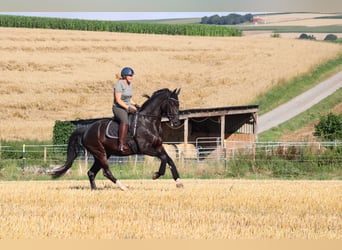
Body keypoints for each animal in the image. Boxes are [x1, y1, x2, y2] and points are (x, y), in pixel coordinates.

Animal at [50, 88, 184, 189]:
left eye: (178, 104)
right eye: (172, 104)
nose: (176, 122)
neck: (148, 121)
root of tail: (86, 129)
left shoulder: (158, 146)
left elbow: (169, 159)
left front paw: (179, 182)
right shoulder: (145, 148)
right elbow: (163, 158)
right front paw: (156, 174)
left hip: (103, 154)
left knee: (91, 172)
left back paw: (95, 190)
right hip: (100, 153)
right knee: (106, 172)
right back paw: (123, 187)